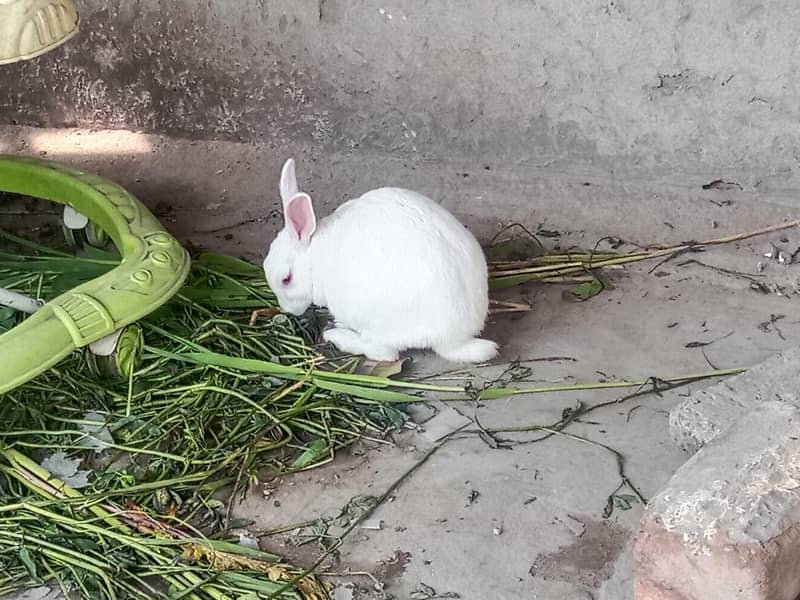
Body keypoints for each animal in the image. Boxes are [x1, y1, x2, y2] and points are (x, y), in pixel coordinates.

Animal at [262, 158, 498, 364]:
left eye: (286, 279)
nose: (288, 310)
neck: (313, 255)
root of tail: (453, 338)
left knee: (384, 352)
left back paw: (338, 335)